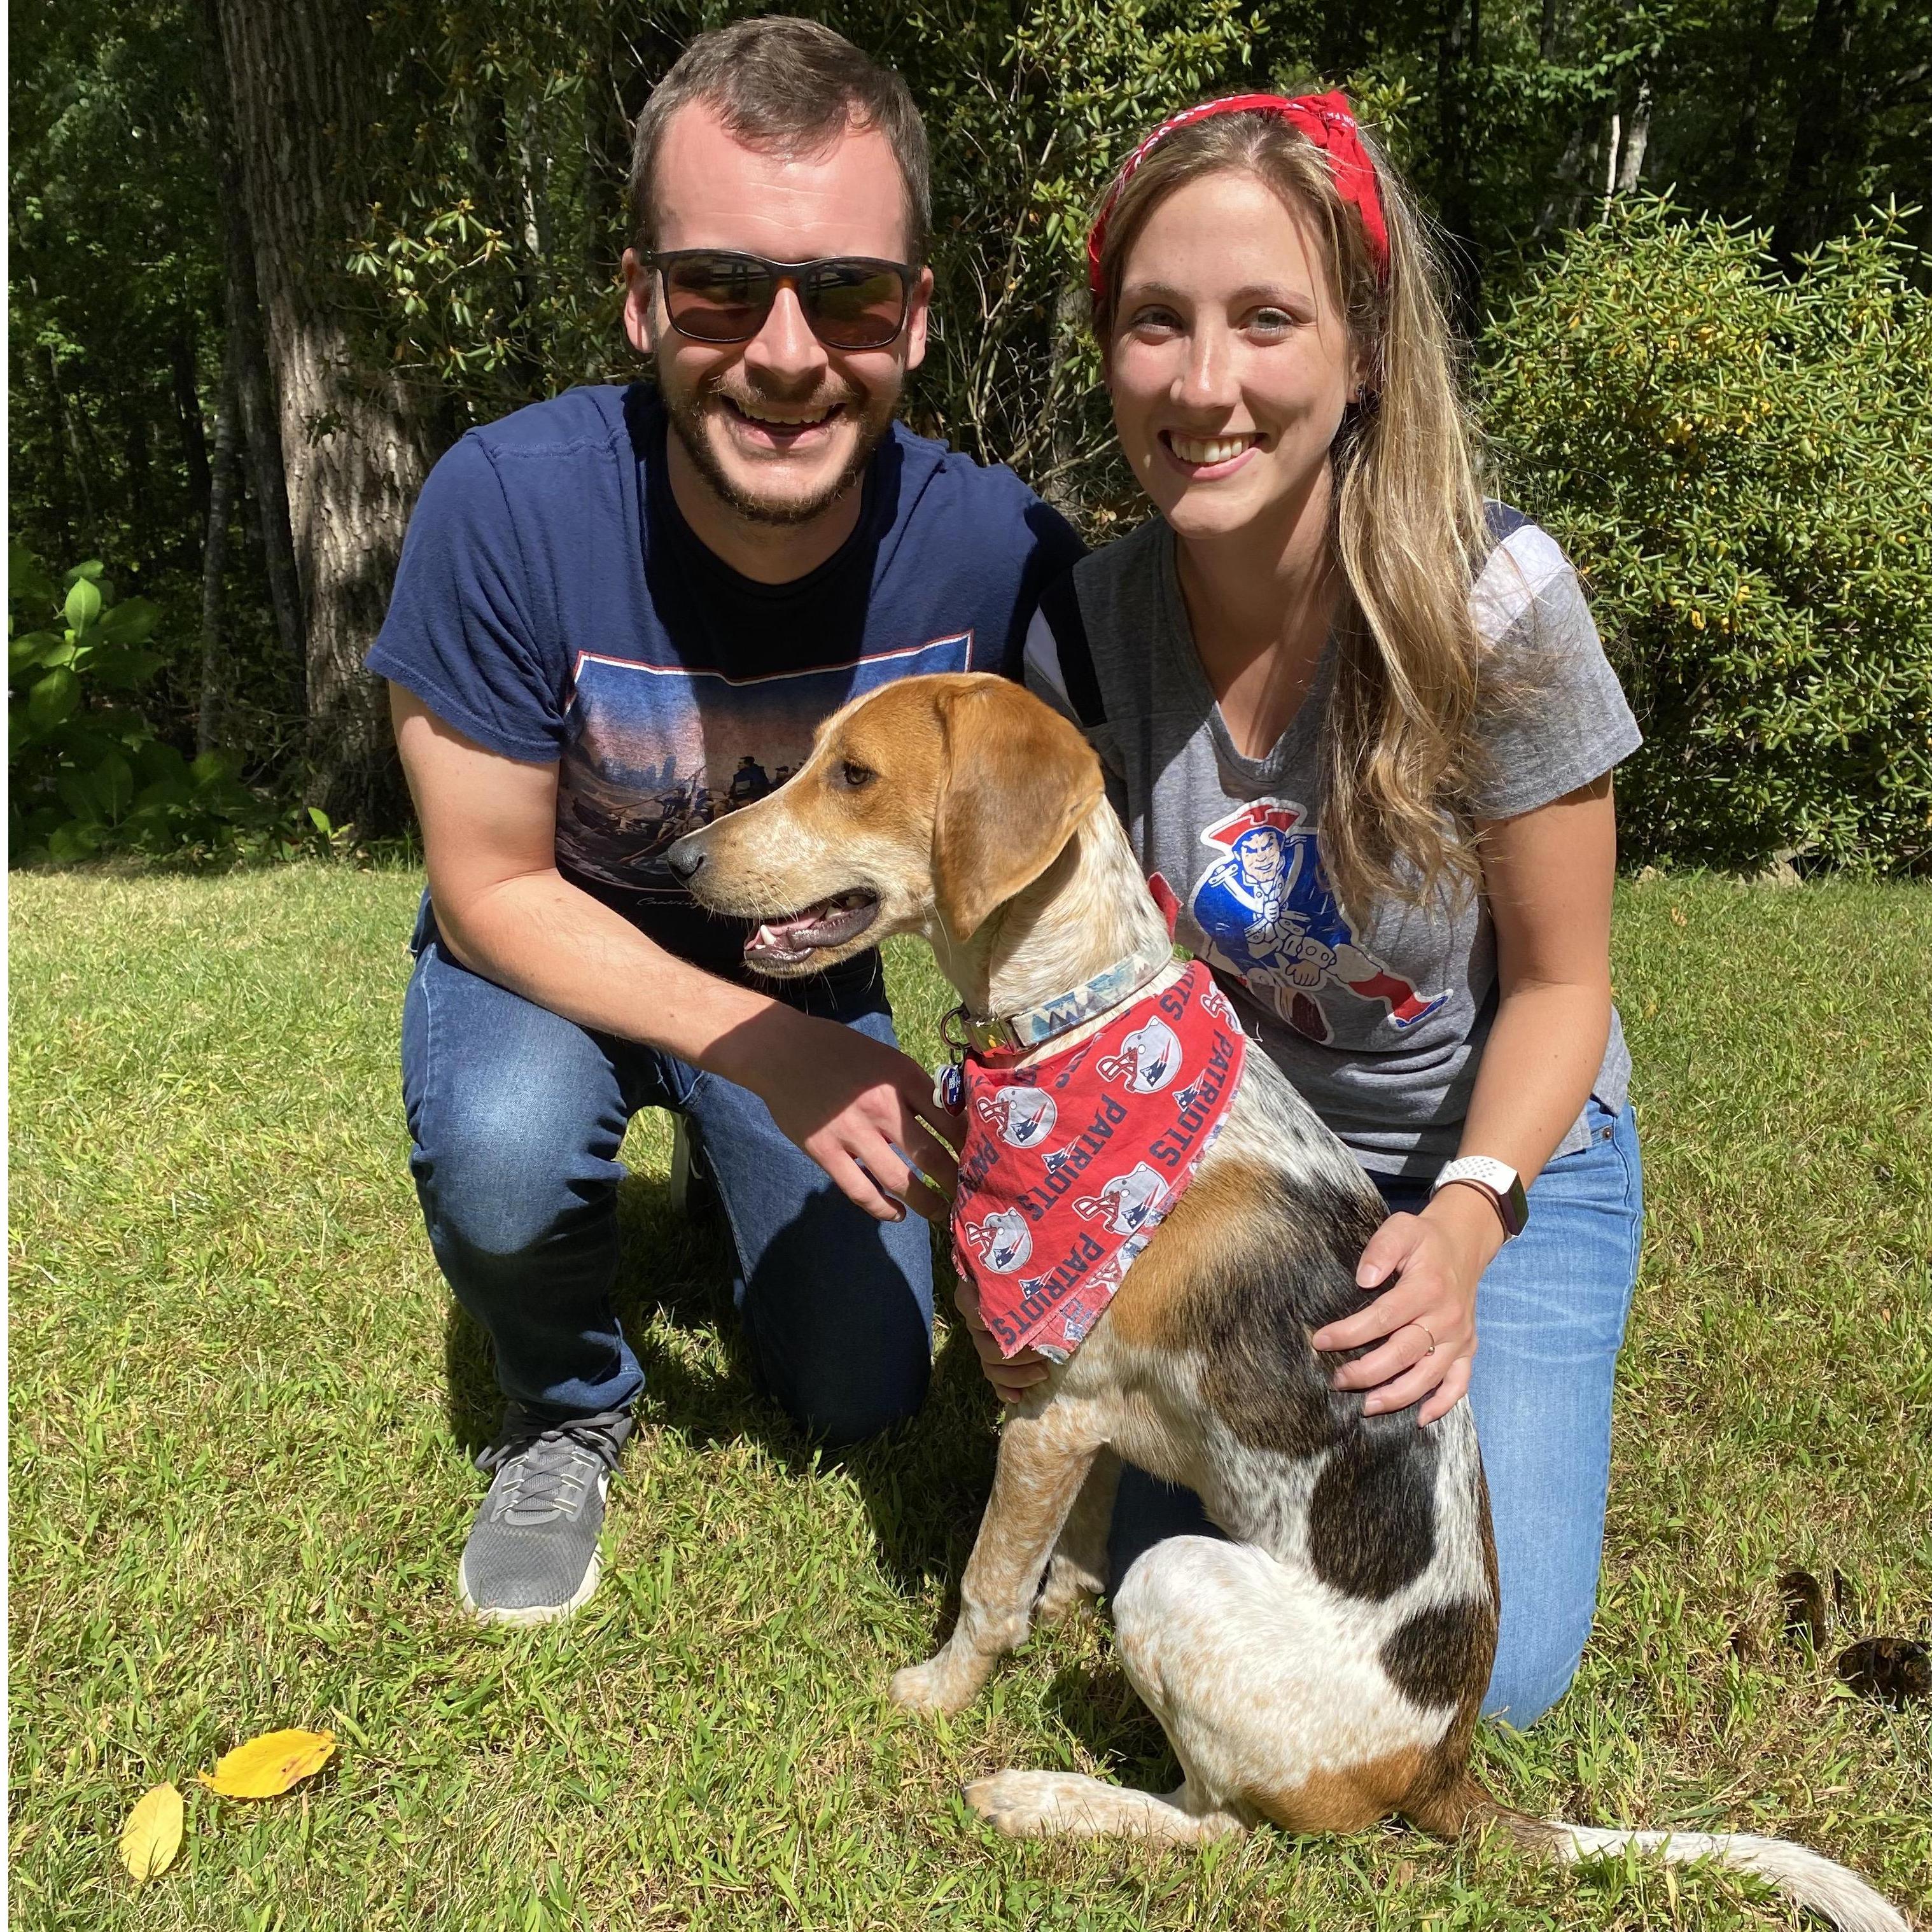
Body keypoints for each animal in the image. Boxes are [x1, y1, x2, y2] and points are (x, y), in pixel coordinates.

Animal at [668, 672, 1904, 1932]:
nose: (680, 859)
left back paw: (1044, 1795)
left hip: (1178, 1587)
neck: (1079, 1019)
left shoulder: (1045, 1417)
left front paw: (937, 1691)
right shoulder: (1090, 1417)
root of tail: (1442, 1764)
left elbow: (988, 1588)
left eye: (854, 775)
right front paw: (1057, 1609)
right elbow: (1071, 1548)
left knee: (1216, 1830)